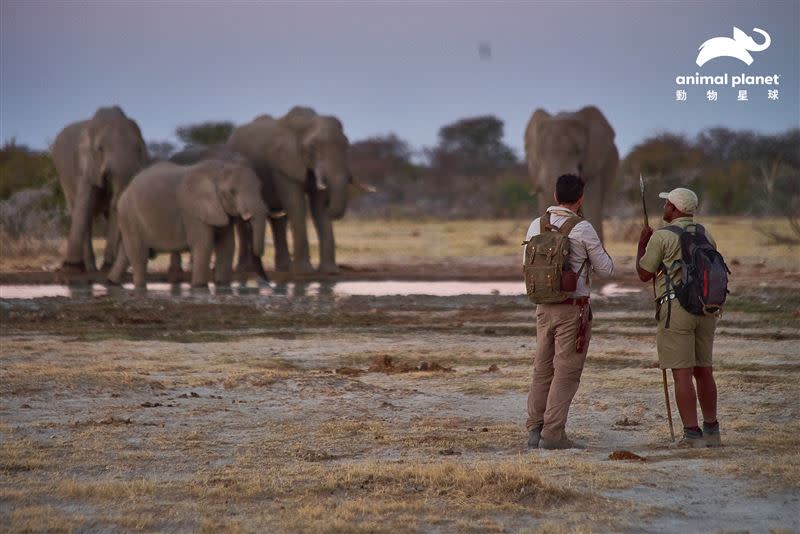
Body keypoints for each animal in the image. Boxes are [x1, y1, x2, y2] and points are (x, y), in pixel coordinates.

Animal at [50, 105, 150, 272]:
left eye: (139, 149)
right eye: (100, 148)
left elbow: (113, 211)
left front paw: (107, 267)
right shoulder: (85, 165)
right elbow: (84, 205)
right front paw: (71, 268)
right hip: (62, 176)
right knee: (80, 212)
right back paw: (88, 269)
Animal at [106, 161, 270, 292]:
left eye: (261, 188)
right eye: (232, 192)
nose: (264, 281)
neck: (218, 170)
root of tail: (128, 187)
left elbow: (227, 245)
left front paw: (222, 284)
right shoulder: (192, 211)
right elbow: (203, 244)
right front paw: (199, 287)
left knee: (125, 252)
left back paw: (112, 282)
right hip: (129, 214)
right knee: (138, 252)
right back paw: (140, 287)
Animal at [228, 108, 372, 276]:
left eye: (346, 145)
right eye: (313, 147)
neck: (304, 124)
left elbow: (318, 209)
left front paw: (330, 272)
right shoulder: (282, 165)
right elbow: (296, 205)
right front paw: (305, 272)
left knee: (278, 219)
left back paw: (283, 268)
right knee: (243, 220)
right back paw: (244, 271)